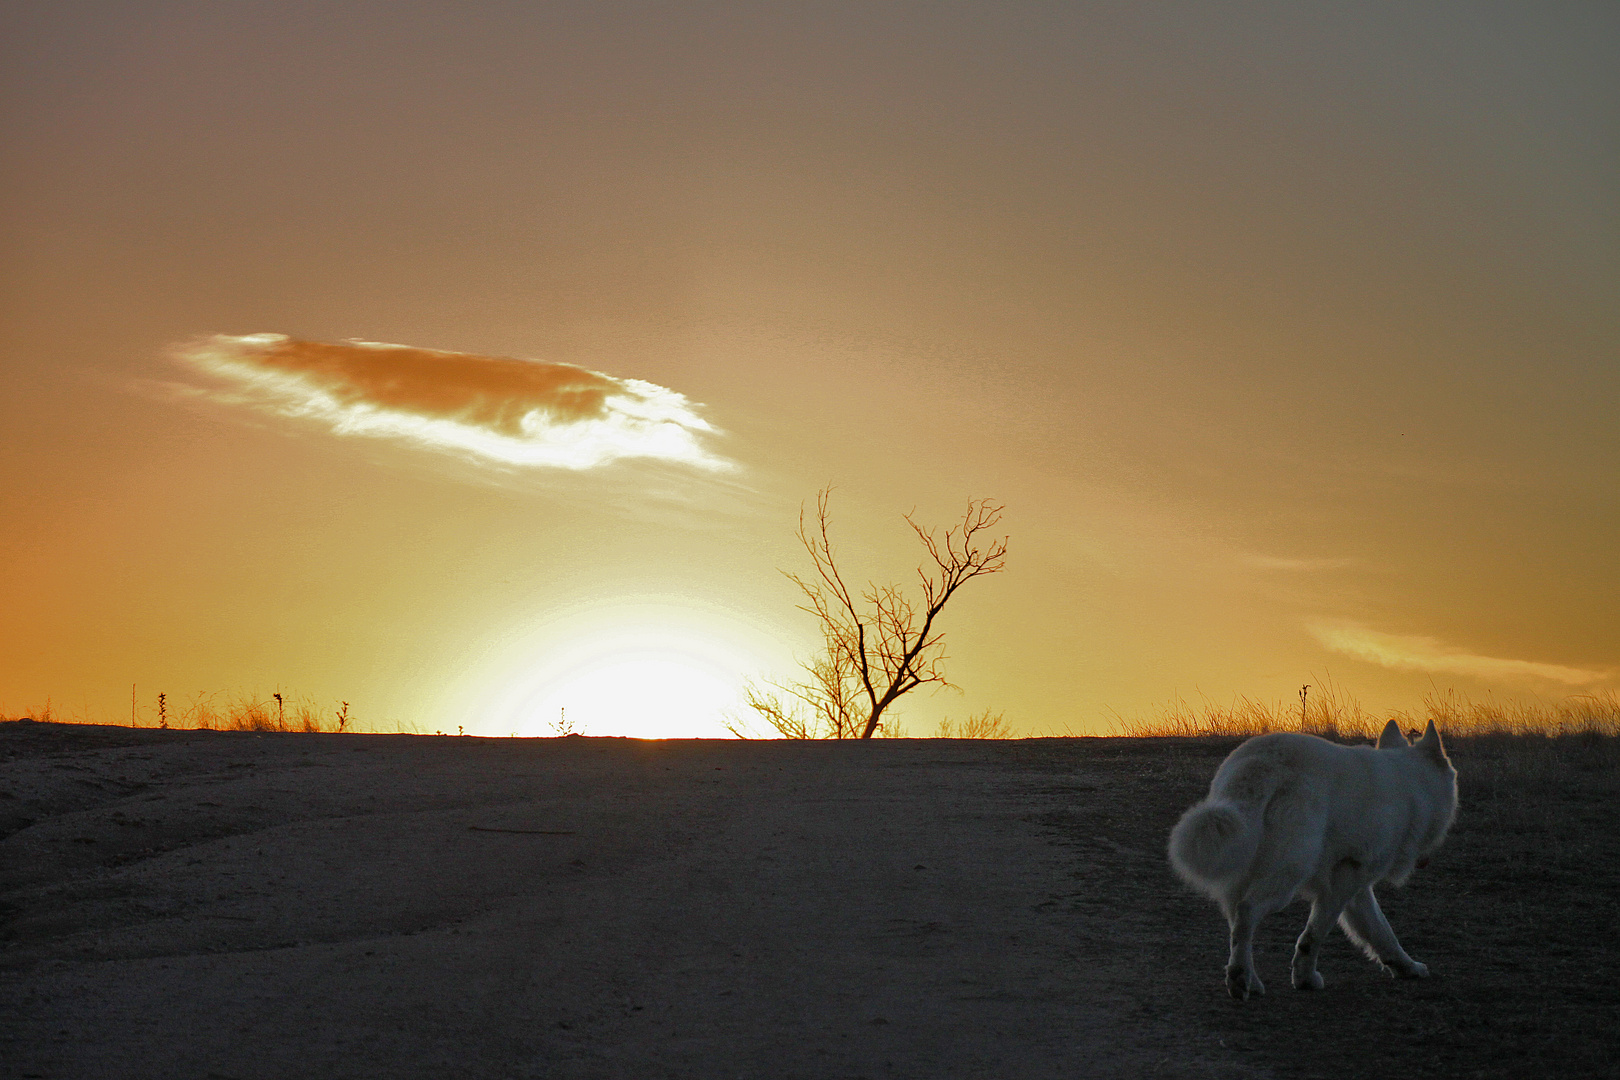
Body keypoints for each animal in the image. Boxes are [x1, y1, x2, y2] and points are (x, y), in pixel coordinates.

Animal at [1166, 722, 1458, 1003]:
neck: (1409, 785)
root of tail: (1262, 764)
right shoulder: (1346, 877)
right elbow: (1315, 934)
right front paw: (1305, 978)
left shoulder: (1357, 886)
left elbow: (1381, 932)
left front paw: (1405, 967)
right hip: (1289, 874)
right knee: (1247, 911)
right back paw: (1240, 978)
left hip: (1241, 868)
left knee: (1236, 923)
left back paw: (1249, 980)